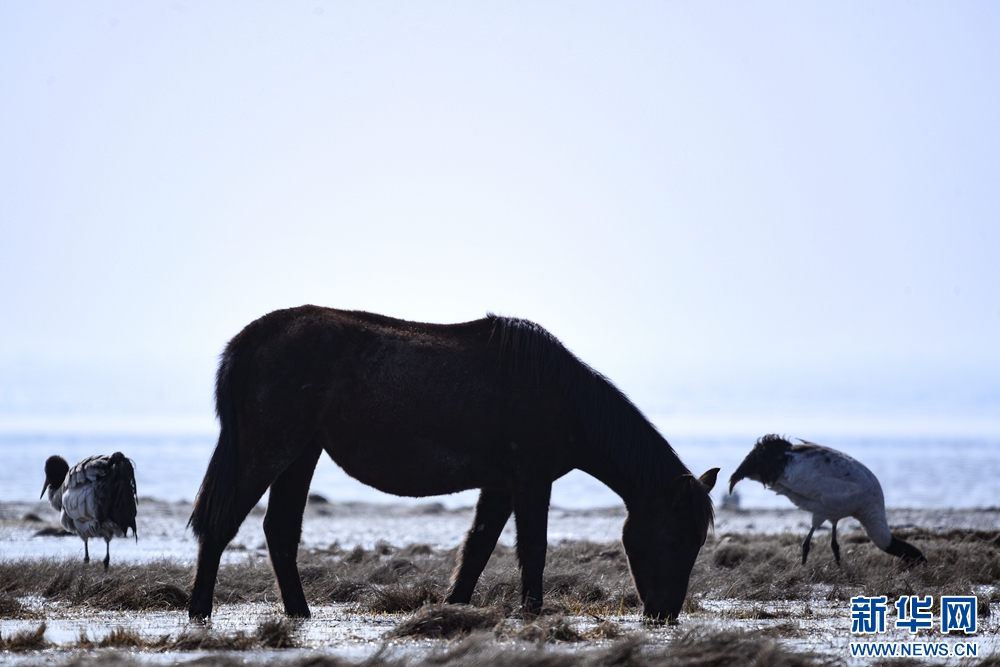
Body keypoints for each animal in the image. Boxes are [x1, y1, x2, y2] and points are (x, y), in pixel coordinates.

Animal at [188, 306, 718, 623]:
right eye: (673, 538)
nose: (666, 614)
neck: (563, 395)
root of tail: (244, 342)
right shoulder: (531, 480)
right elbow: (533, 549)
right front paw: (531, 612)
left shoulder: (501, 485)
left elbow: (478, 547)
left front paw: (452, 608)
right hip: (269, 450)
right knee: (221, 524)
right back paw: (199, 611)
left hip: (300, 454)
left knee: (279, 530)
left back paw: (299, 614)